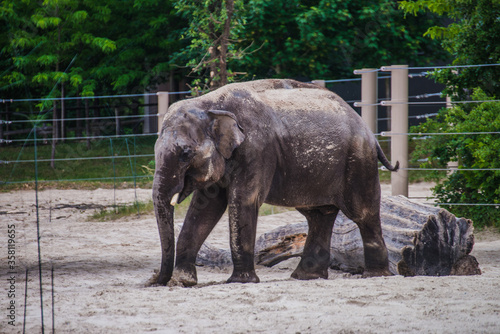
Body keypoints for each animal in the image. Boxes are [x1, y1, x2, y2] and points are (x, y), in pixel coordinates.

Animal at [152, 79, 398, 288]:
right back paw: (305, 277)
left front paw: (241, 282)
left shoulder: (257, 150)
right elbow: (204, 208)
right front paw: (183, 282)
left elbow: (243, 200)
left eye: (185, 154)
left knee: (363, 214)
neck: (210, 104)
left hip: (358, 162)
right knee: (319, 215)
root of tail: (368, 130)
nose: (154, 280)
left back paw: (374, 275)